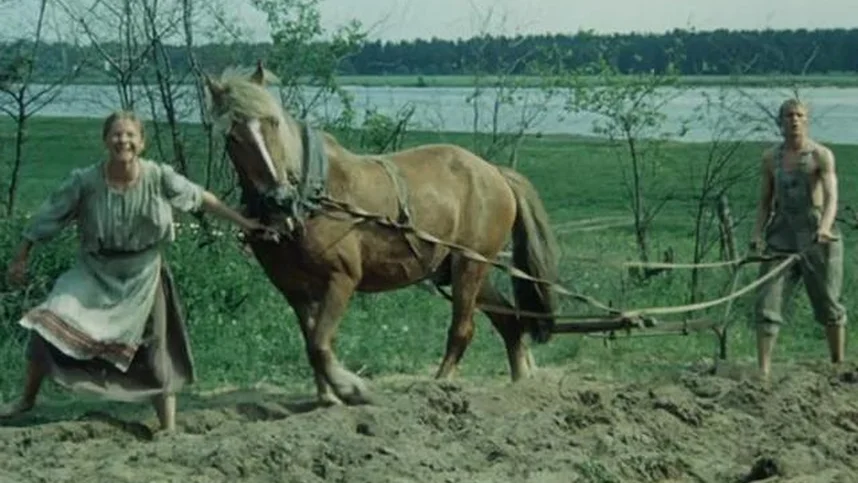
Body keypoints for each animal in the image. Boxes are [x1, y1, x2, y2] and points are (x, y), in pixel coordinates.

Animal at [202, 62, 561, 406]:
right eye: (232, 135)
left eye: (273, 122)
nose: (279, 199)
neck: (312, 198)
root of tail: (494, 172)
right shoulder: (294, 290)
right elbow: (312, 342)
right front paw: (327, 395)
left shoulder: (342, 277)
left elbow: (320, 343)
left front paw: (351, 388)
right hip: (465, 270)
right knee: (509, 322)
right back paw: (519, 385)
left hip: (470, 264)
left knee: (463, 328)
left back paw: (440, 384)